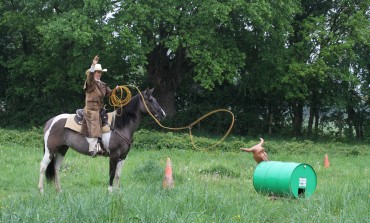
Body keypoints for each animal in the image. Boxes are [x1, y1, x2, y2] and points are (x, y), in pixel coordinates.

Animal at [37, 87, 165, 193]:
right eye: (150, 100)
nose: (163, 114)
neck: (119, 125)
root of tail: (50, 122)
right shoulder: (114, 155)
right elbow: (111, 174)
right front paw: (110, 192)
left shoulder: (123, 157)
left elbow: (118, 175)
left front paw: (117, 192)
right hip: (50, 150)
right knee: (43, 166)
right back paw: (41, 191)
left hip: (62, 149)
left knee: (56, 168)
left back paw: (59, 191)